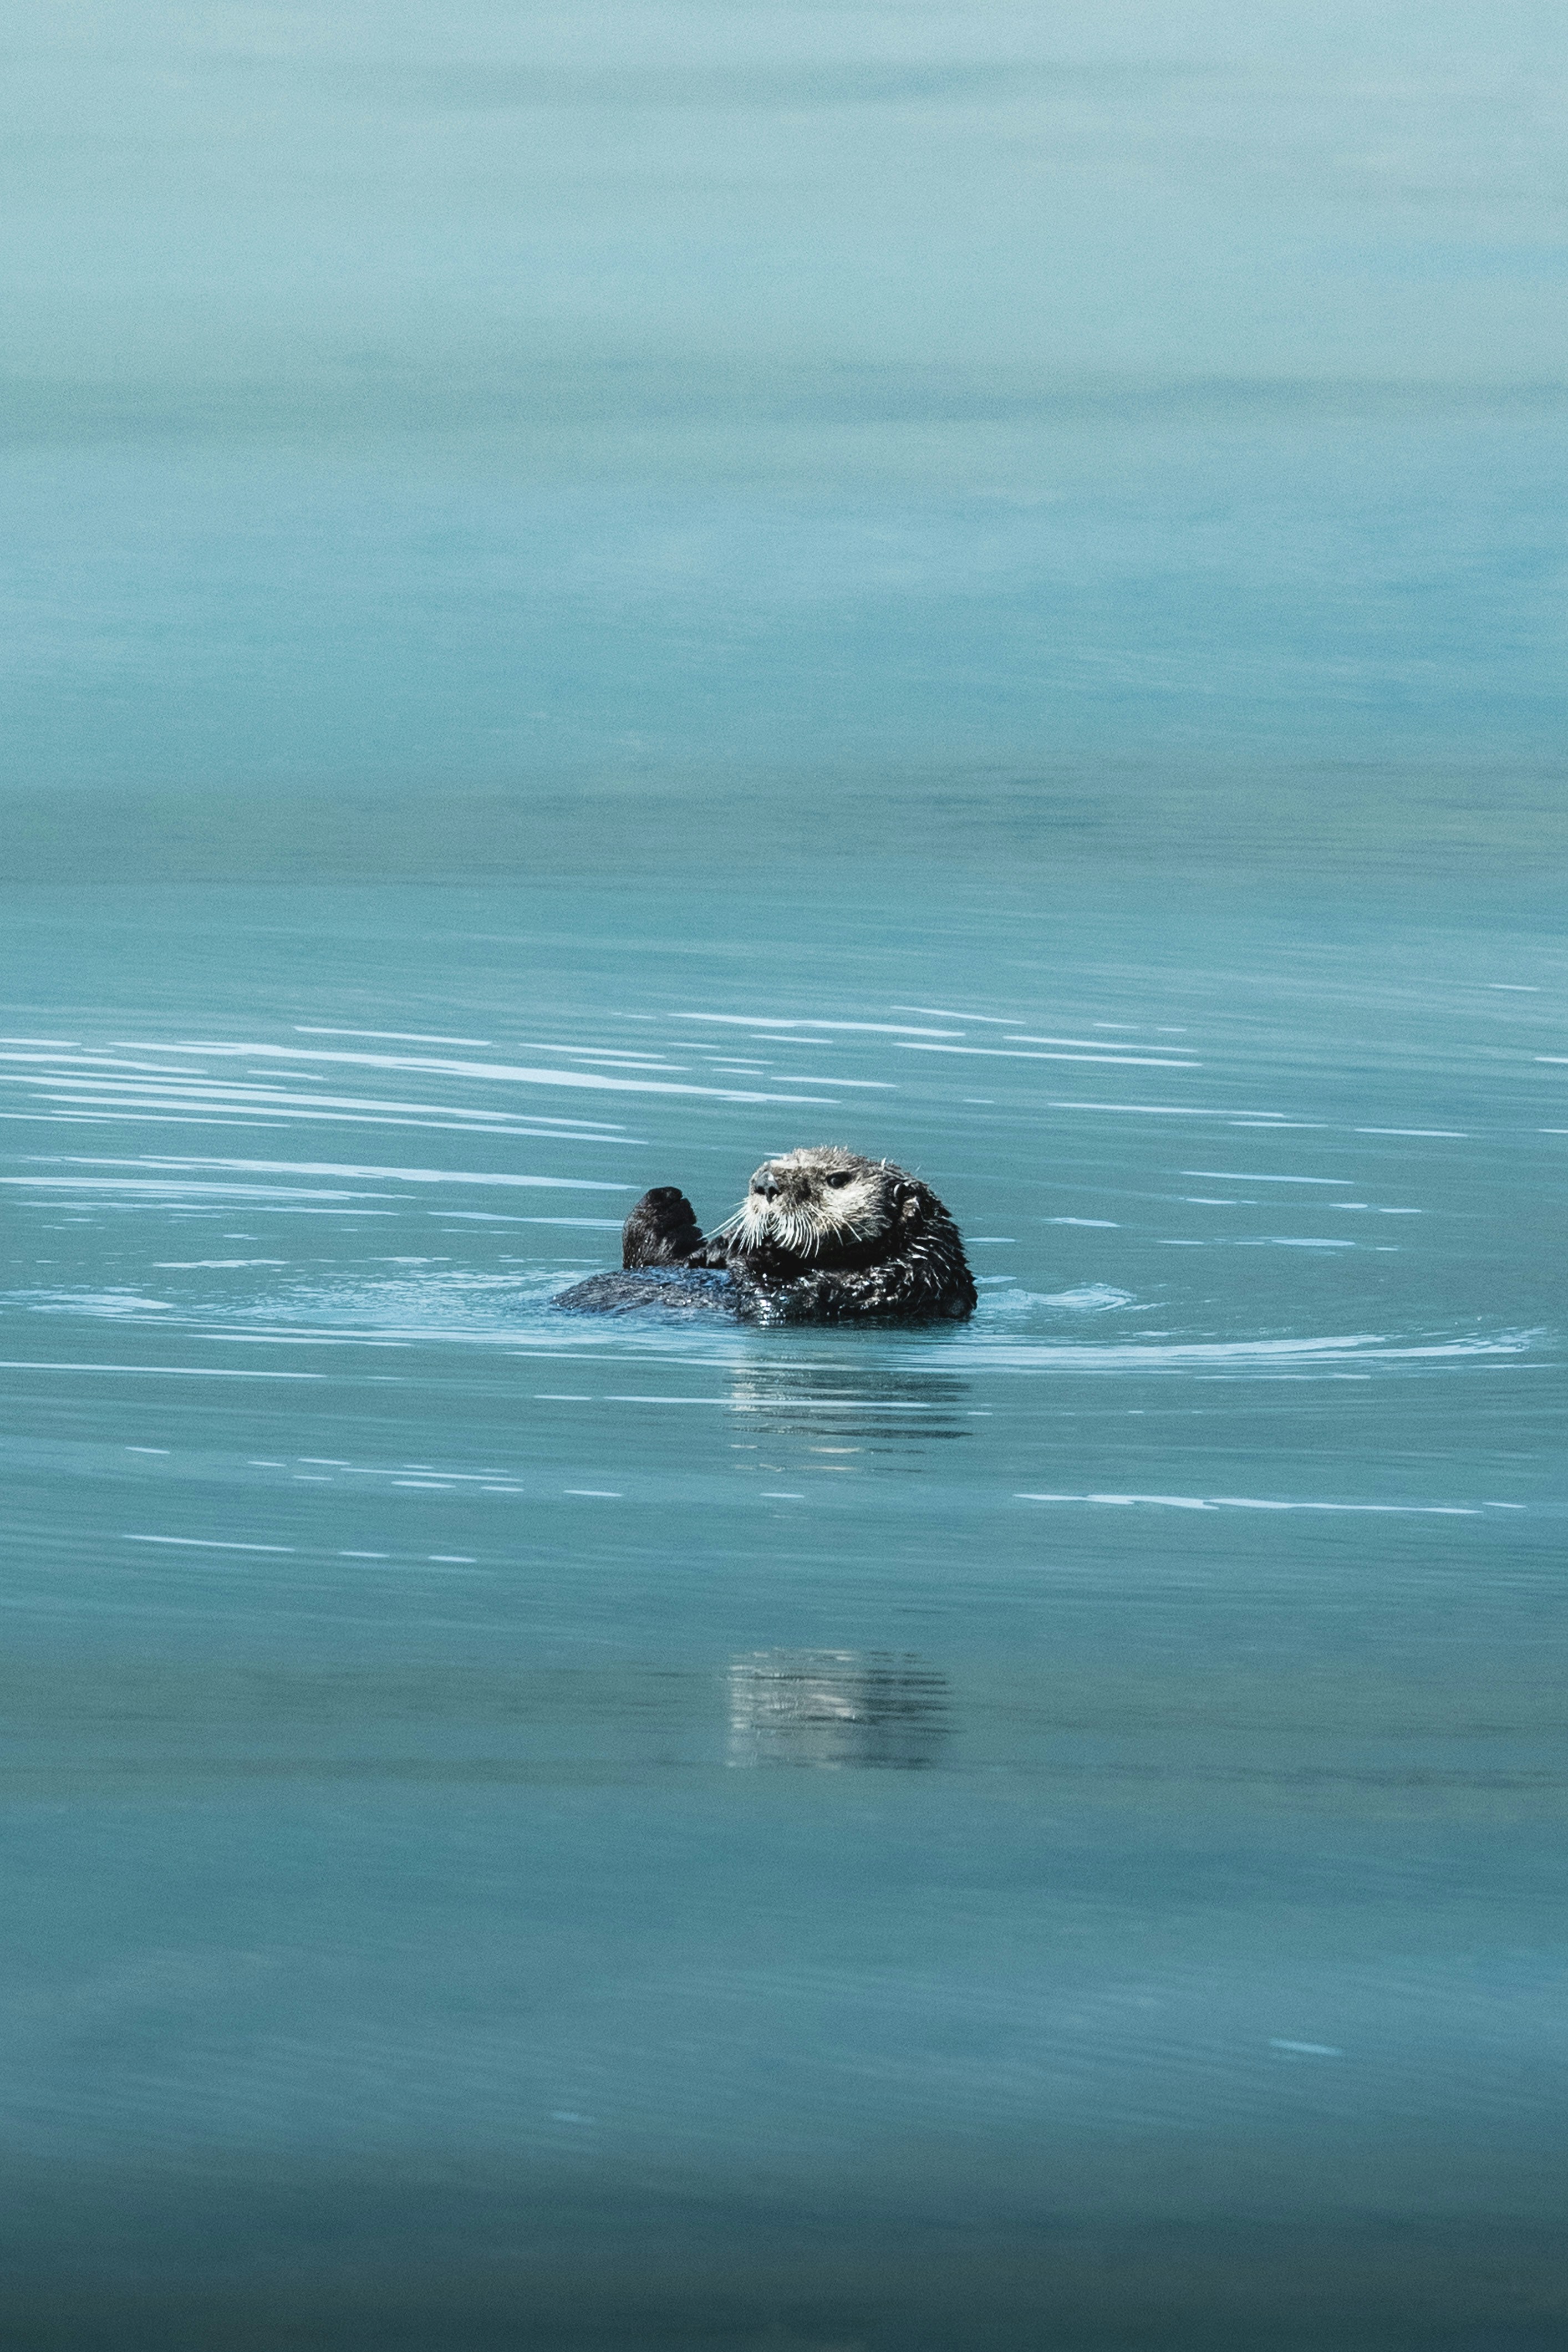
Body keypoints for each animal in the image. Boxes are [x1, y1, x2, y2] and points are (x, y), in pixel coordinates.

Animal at [556, 1146, 976, 1323]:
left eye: (837, 1180)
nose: (765, 1182)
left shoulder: (882, 1288)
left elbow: (769, 1299)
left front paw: (754, 1251)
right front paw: (711, 1240)